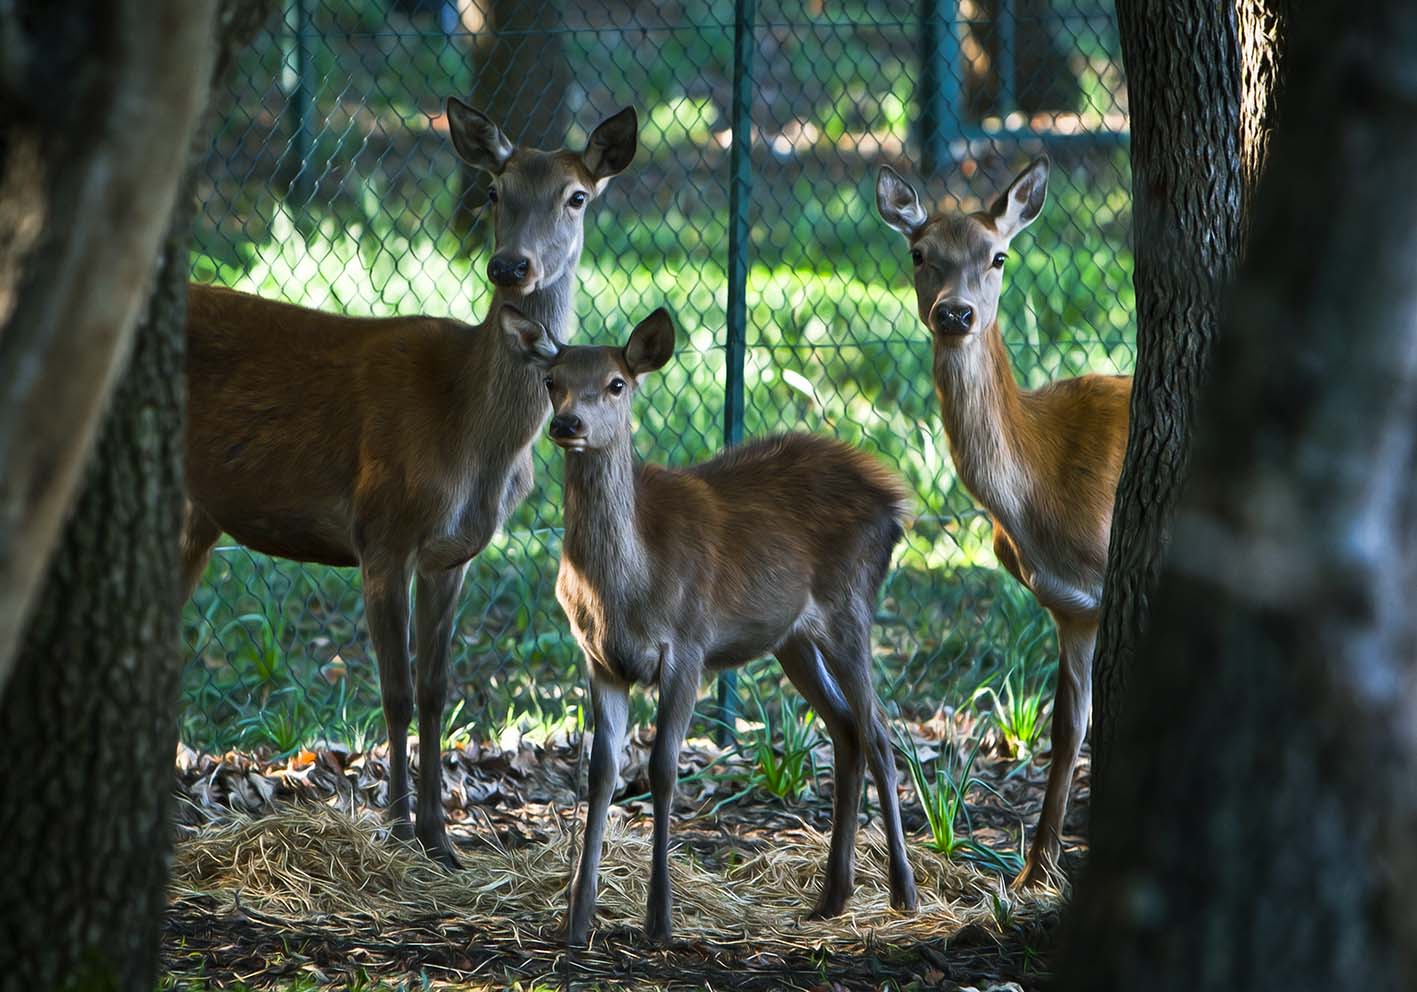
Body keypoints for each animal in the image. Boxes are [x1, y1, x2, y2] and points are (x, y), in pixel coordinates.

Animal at [179, 97, 640, 861]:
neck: (469, 432)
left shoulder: (453, 554)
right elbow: (393, 690)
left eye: (576, 196)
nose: (510, 265)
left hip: (194, 516)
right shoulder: (381, 532)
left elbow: (434, 690)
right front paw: (395, 825)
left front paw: (438, 834)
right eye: (494, 191)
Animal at [541, 310, 918, 946]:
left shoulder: (688, 646)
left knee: (878, 730)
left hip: (850, 603)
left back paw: (904, 895)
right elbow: (600, 772)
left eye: (617, 383)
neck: (625, 589)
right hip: (793, 637)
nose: (568, 423)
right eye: (552, 380)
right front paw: (577, 919)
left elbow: (663, 769)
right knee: (845, 728)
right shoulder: (599, 659)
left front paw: (660, 921)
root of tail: (896, 500)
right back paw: (831, 898)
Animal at [872, 158, 1127, 889]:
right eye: (918, 252)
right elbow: (1068, 728)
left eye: (998, 256)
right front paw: (1035, 869)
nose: (954, 312)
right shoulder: (1071, 607)